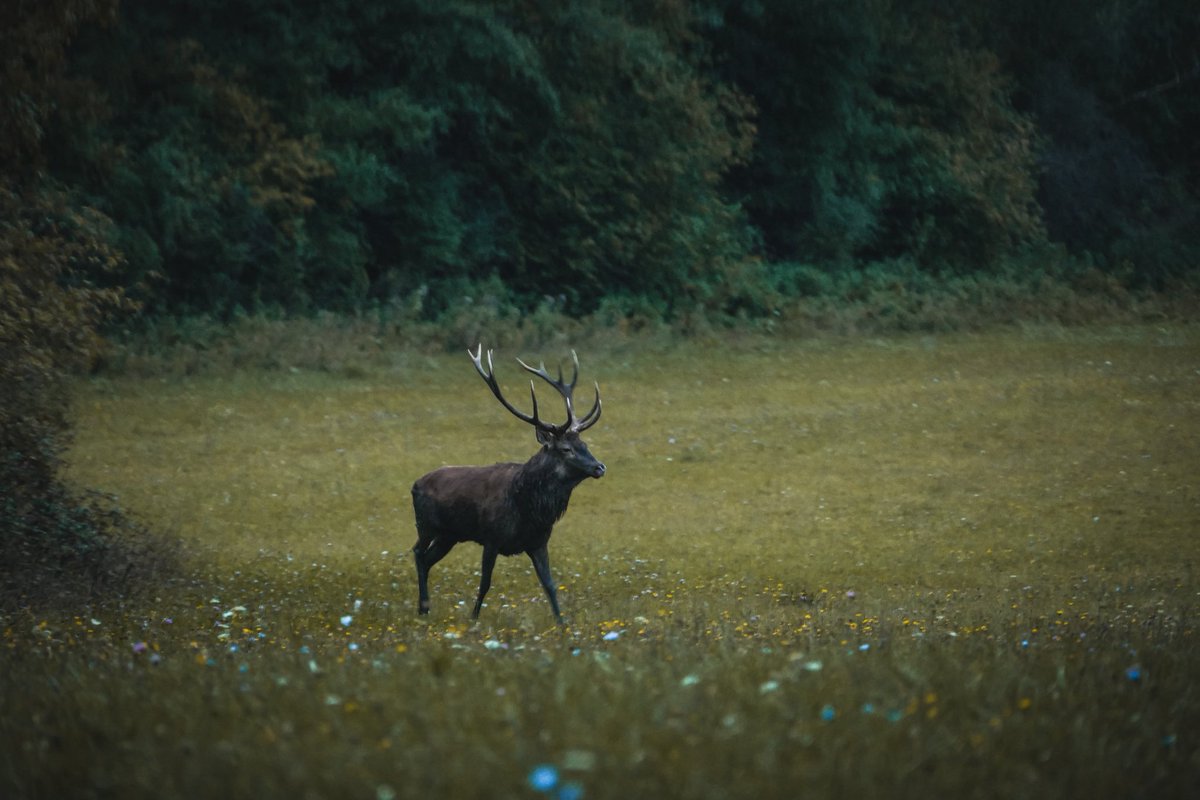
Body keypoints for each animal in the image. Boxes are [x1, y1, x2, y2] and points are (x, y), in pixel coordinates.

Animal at [410, 345, 605, 624]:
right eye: (566, 449)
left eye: (585, 444)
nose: (599, 467)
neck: (529, 507)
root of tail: (415, 484)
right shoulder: (491, 538)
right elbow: (485, 583)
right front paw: (474, 619)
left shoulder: (538, 542)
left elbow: (549, 585)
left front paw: (562, 624)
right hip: (426, 525)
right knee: (417, 552)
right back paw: (423, 607)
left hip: (449, 535)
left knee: (426, 560)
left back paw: (424, 608)